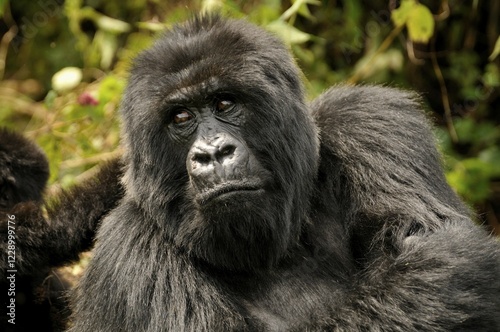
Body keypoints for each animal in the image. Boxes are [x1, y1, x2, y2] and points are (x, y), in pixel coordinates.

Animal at [70, 14, 500, 330]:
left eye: (224, 103)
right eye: (181, 117)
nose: (212, 153)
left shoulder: (368, 122)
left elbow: (433, 248)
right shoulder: (129, 254)